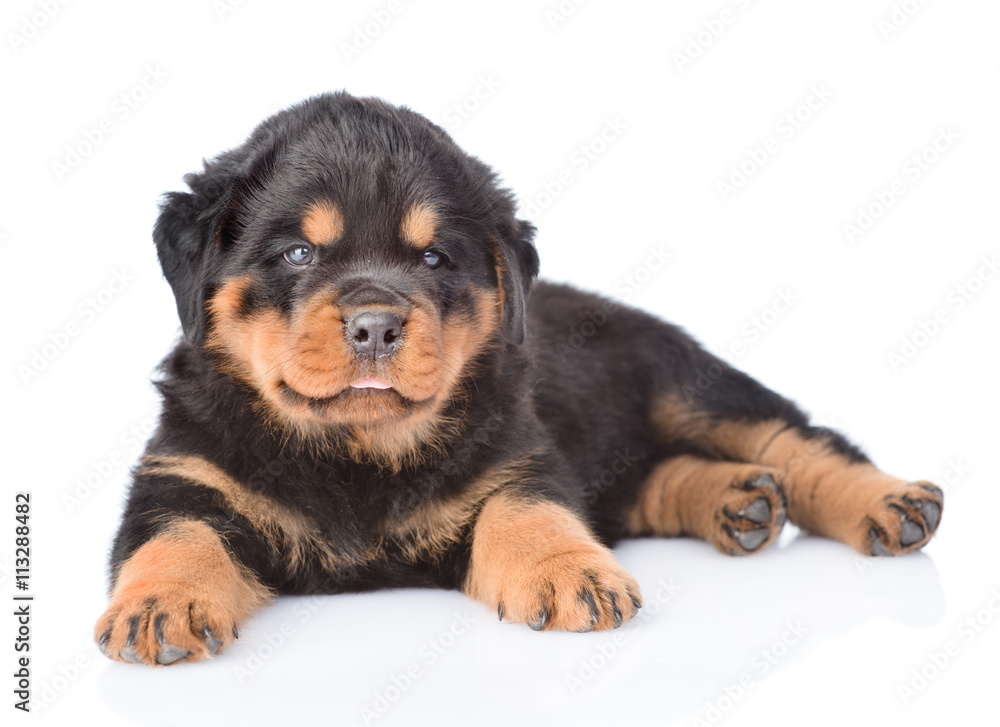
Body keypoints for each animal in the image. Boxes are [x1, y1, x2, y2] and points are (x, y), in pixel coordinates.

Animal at [92, 91, 936, 664]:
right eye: (299, 252)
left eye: (435, 258)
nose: (375, 324)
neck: (356, 452)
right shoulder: (180, 474)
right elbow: (176, 534)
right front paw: (160, 603)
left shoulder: (517, 455)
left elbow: (529, 509)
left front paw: (570, 574)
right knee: (655, 479)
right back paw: (739, 499)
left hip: (690, 384)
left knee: (798, 438)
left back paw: (890, 503)